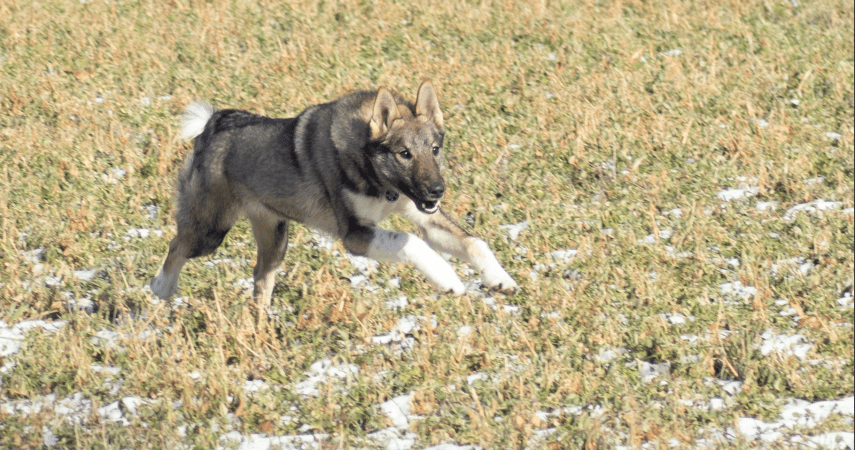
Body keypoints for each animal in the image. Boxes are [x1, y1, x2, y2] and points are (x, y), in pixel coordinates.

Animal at [150, 80, 520, 310]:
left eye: (434, 149)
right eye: (404, 154)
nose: (437, 191)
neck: (378, 179)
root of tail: (213, 124)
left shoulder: (422, 215)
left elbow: (474, 242)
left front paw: (499, 278)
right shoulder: (355, 234)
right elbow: (411, 242)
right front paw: (449, 280)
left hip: (275, 240)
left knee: (260, 279)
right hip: (210, 230)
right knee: (176, 246)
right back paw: (161, 290)